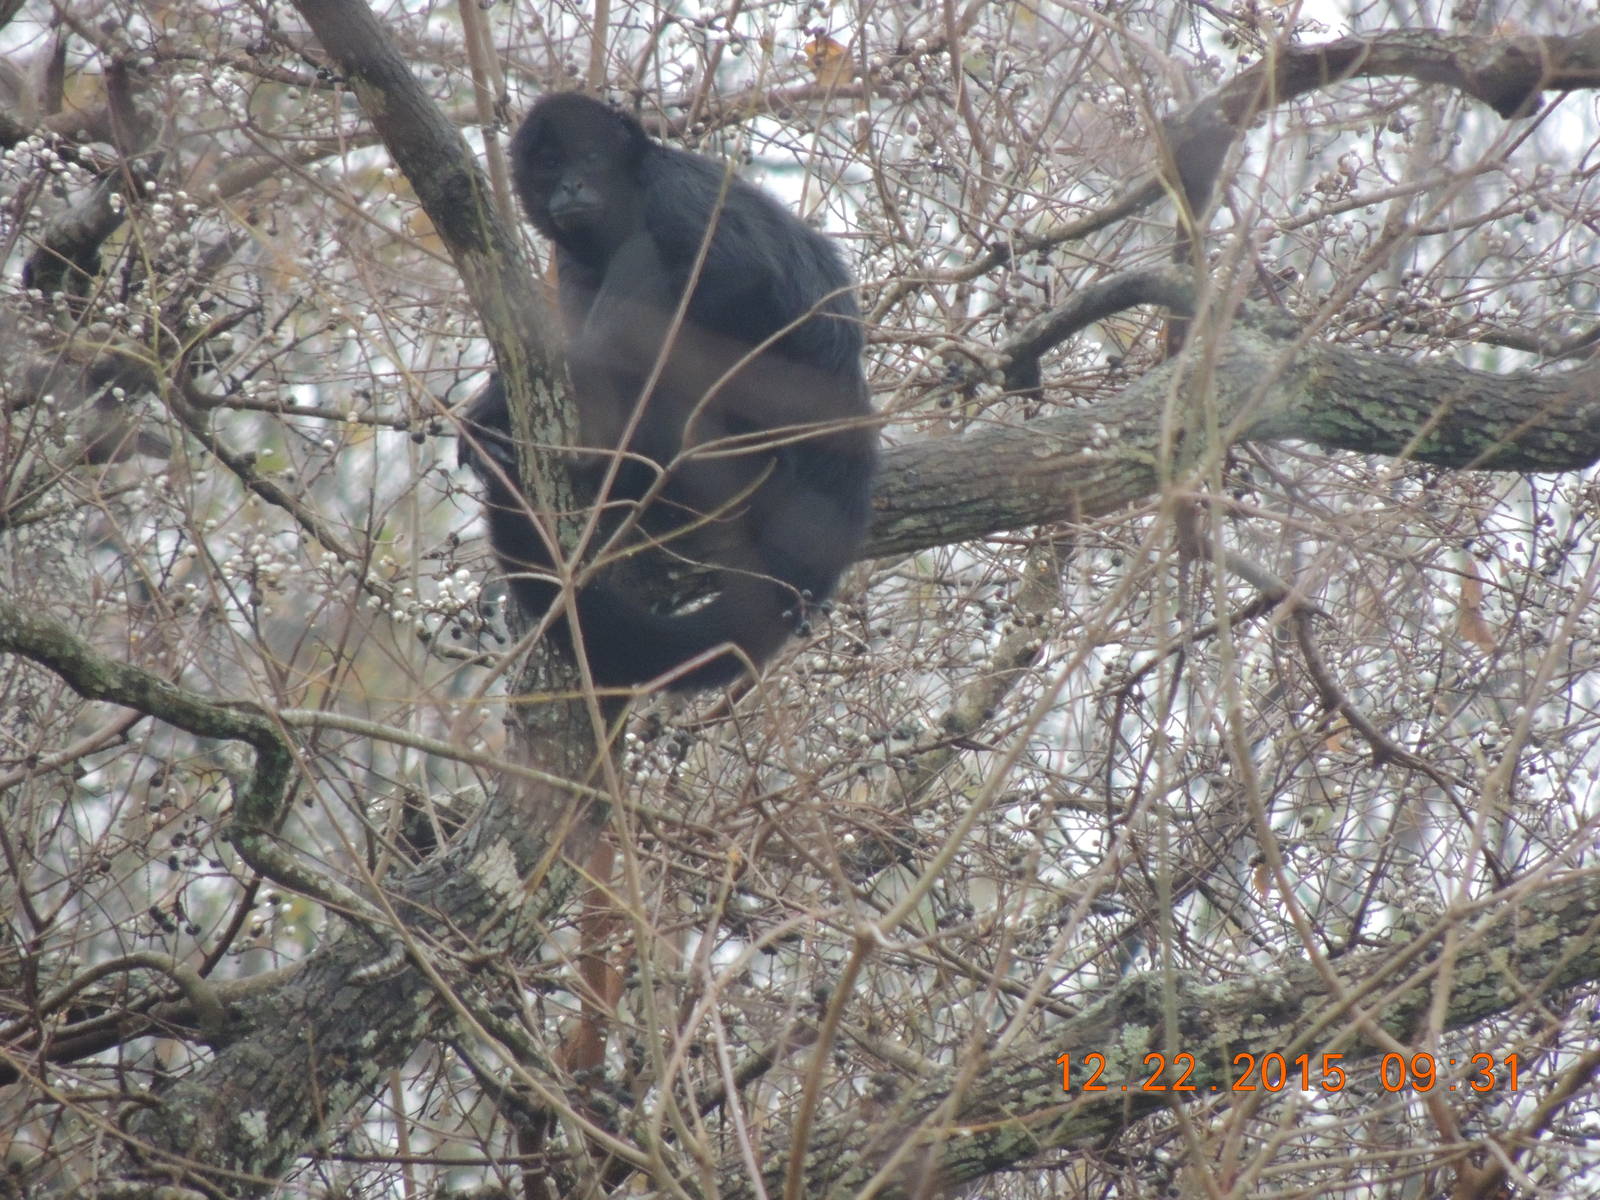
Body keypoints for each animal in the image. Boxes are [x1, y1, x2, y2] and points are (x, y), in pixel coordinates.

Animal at [459, 92, 876, 691]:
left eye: (589, 158)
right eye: (550, 166)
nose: (571, 186)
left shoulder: (674, 195)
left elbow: (743, 274)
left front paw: (496, 407)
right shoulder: (572, 260)